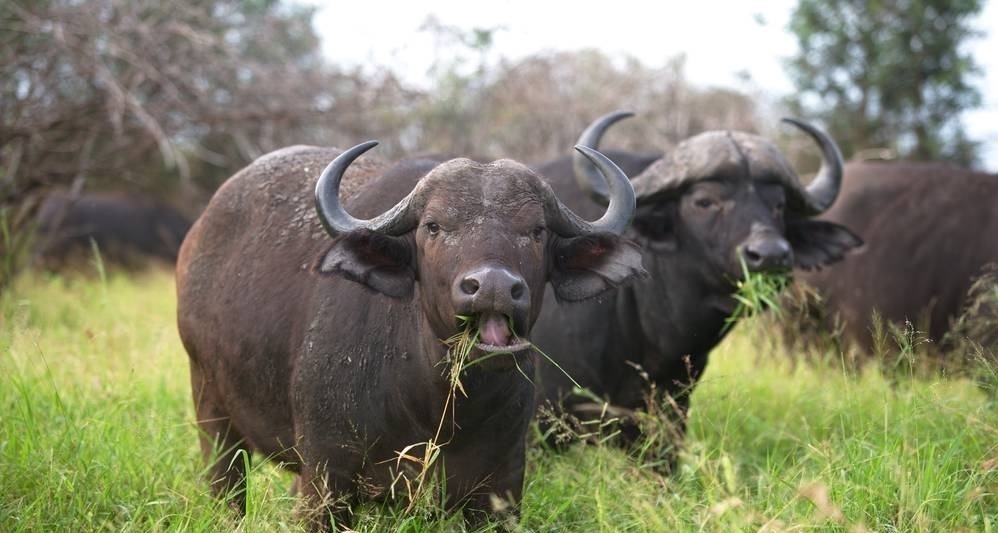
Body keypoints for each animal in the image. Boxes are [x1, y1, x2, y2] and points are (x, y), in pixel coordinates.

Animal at [175, 141, 644, 528]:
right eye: (433, 226)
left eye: (537, 230)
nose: (492, 286)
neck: (437, 410)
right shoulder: (326, 479)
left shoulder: (503, 489)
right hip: (211, 411)